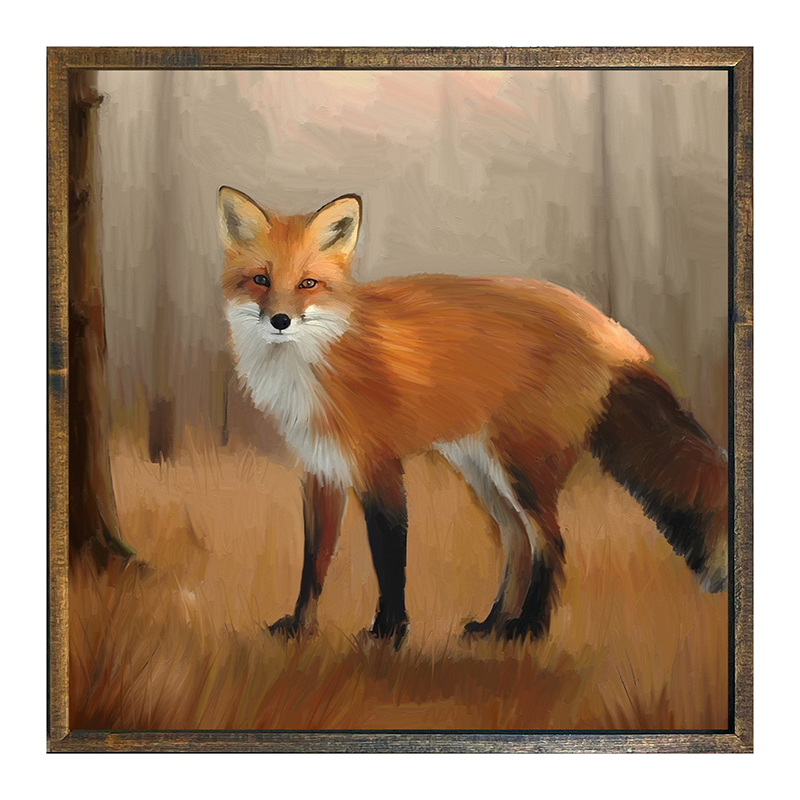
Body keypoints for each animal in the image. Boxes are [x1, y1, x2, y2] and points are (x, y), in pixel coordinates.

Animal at [217, 186, 729, 647]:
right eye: (260, 280)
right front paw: (300, 629)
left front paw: (389, 633)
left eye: (307, 284)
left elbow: (389, 558)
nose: (280, 320)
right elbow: (314, 563)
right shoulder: (320, 470)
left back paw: (529, 630)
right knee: (517, 542)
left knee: (552, 543)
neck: (316, 361)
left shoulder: (379, 467)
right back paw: (493, 624)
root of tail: (608, 327)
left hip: (521, 468)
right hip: (483, 470)